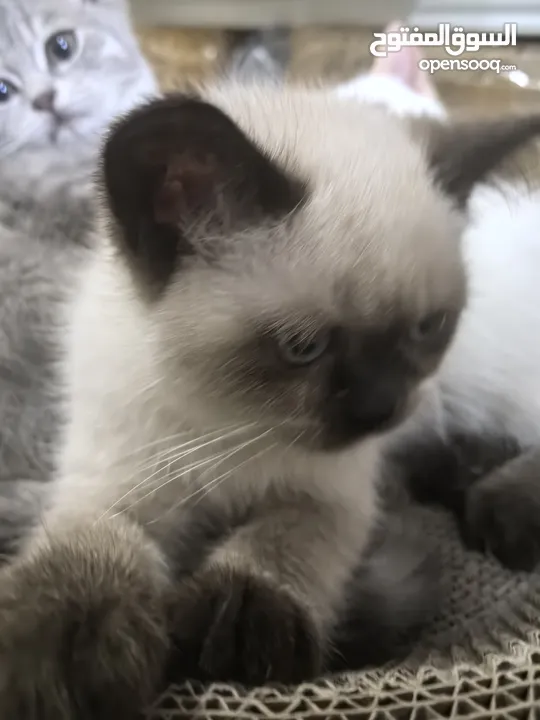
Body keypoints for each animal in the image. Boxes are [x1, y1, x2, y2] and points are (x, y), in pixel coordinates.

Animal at [0, 86, 536, 720]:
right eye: (302, 348)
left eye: (429, 328)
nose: (380, 409)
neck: (230, 424)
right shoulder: (117, 487)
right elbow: (86, 548)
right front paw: (61, 657)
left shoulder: (326, 495)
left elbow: (282, 543)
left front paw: (238, 627)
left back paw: (500, 506)